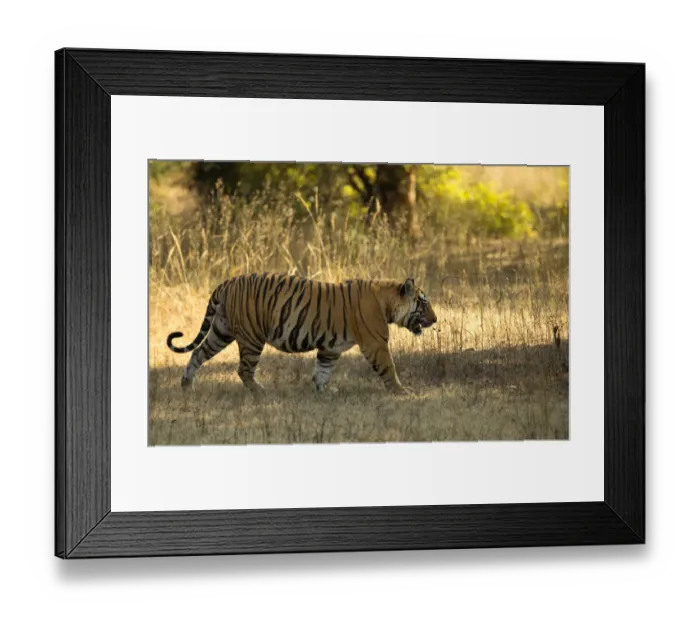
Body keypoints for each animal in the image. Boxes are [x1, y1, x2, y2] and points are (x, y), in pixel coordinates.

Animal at [167, 273, 438, 395]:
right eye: (424, 303)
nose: (435, 320)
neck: (387, 301)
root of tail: (227, 283)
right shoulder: (376, 344)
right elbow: (389, 368)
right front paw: (402, 392)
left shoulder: (330, 348)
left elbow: (322, 370)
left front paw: (323, 391)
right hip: (252, 338)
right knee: (243, 369)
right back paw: (261, 392)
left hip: (221, 331)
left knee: (198, 354)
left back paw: (186, 386)